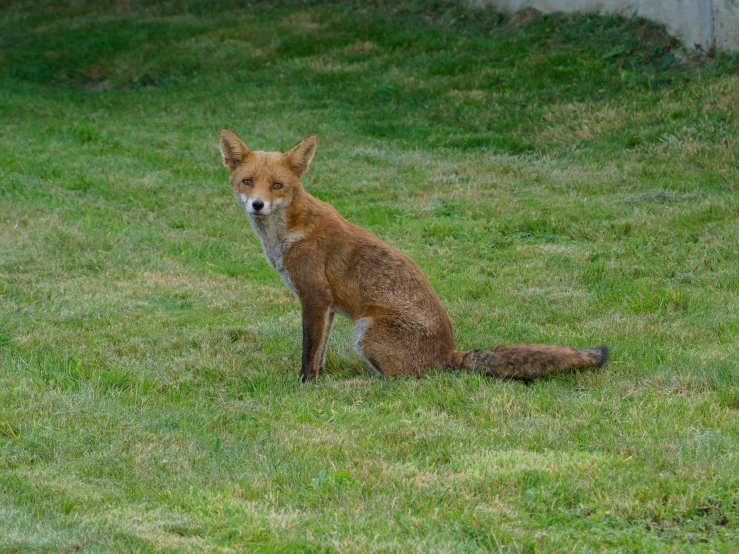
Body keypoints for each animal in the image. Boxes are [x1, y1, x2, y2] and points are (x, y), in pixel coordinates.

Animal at [218, 129, 608, 380]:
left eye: (277, 186)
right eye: (248, 182)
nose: (257, 204)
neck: (288, 232)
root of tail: (450, 353)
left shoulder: (314, 296)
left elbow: (309, 355)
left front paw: (306, 386)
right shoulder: (326, 307)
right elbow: (321, 350)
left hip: (364, 330)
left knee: (401, 382)